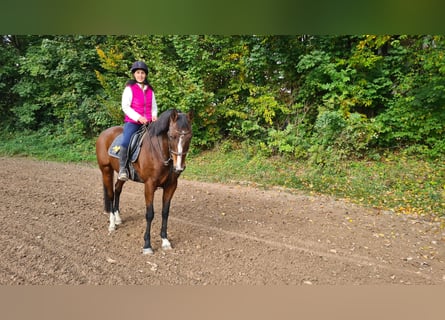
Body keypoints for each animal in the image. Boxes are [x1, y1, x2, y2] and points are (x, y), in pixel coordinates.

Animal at [95, 110, 193, 255]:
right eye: (171, 136)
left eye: (189, 137)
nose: (179, 167)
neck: (158, 152)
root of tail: (104, 133)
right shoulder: (149, 186)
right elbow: (150, 214)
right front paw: (147, 245)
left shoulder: (171, 186)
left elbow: (165, 212)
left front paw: (165, 241)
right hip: (106, 170)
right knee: (111, 194)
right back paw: (112, 224)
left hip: (122, 175)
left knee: (117, 189)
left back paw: (118, 218)